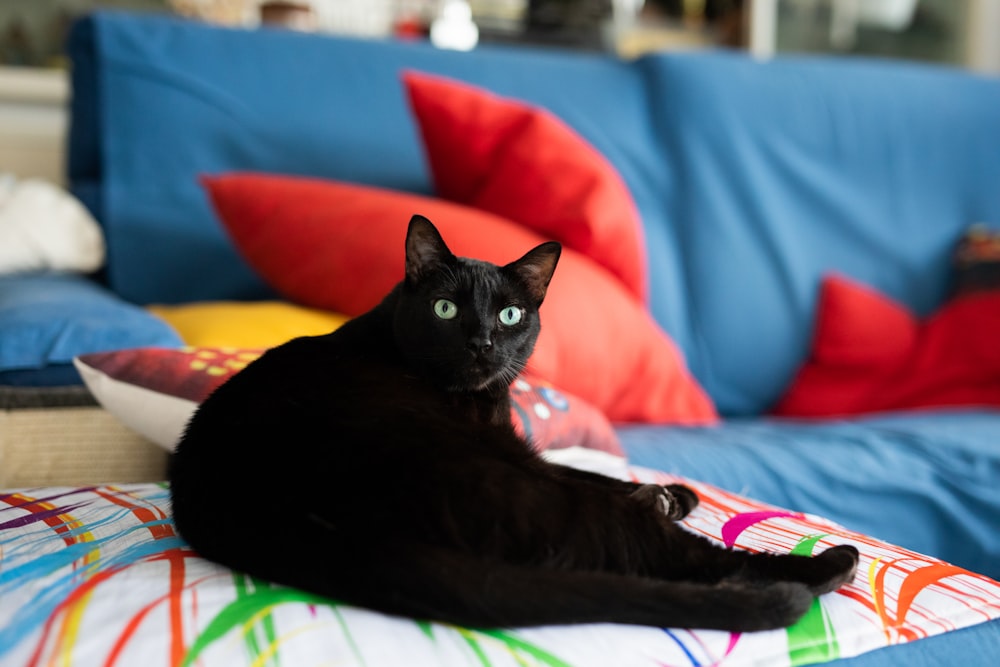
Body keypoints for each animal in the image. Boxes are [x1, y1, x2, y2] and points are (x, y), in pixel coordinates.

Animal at [168, 214, 856, 632]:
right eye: (446, 309)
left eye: (509, 315)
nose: (481, 344)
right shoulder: (510, 454)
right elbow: (593, 482)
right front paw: (664, 497)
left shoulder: (520, 448)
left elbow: (591, 469)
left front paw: (672, 492)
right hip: (507, 484)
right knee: (670, 555)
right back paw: (827, 565)